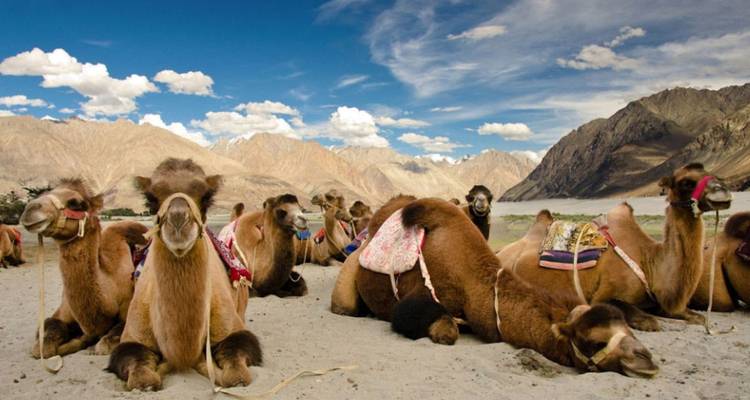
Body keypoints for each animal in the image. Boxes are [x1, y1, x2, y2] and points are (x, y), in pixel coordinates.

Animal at [19, 178, 147, 357]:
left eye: (76, 203)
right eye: (44, 193)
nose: (30, 210)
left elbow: (105, 343)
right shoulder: (61, 311)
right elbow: (43, 342)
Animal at [107, 159, 261, 391]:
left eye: (206, 197)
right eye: (151, 199)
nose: (178, 220)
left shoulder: (233, 328)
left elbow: (236, 374)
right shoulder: (133, 336)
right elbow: (141, 375)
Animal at [331, 196, 657, 377]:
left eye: (628, 330)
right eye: (594, 341)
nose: (647, 358)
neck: (475, 285)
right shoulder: (411, 302)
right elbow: (446, 331)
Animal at [497, 163, 733, 331]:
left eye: (711, 173)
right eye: (686, 182)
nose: (723, 191)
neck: (648, 261)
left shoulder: (660, 299)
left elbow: (697, 317)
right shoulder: (604, 296)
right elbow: (648, 321)